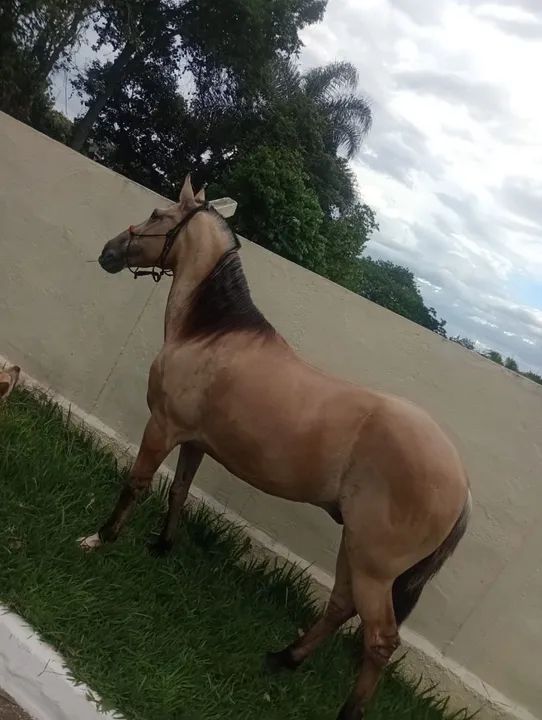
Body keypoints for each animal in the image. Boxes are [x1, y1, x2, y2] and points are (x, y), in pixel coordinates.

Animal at [80, 176, 471, 720]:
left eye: (159, 214)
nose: (110, 251)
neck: (211, 333)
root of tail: (462, 483)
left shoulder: (162, 428)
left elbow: (137, 483)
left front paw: (101, 538)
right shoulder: (195, 441)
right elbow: (178, 490)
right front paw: (162, 545)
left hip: (375, 564)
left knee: (379, 640)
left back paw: (343, 708)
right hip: (355, 546)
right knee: (341, 604)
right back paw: (284, 657)